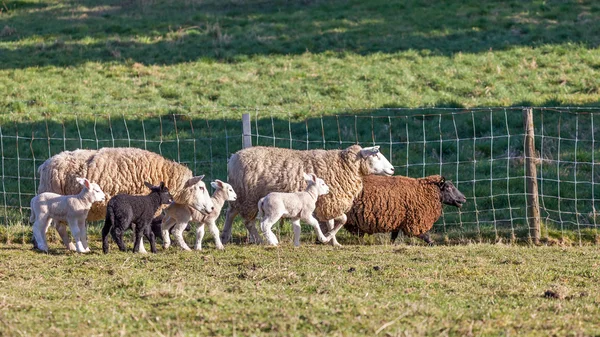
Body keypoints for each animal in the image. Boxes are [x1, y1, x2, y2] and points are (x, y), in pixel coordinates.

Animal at [219, 143, 394, 245]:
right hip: (248, 198)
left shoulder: (327, 203)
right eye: (376, 155)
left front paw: (332, 241)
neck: (344, 166)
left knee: (230, 213)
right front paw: (329, 238)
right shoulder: (330, 202)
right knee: (248, 222)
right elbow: (341, 220)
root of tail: (233, 157)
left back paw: (225, 236)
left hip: (239, 197)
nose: (392, 169)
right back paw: (261, 240)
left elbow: (331, 222)